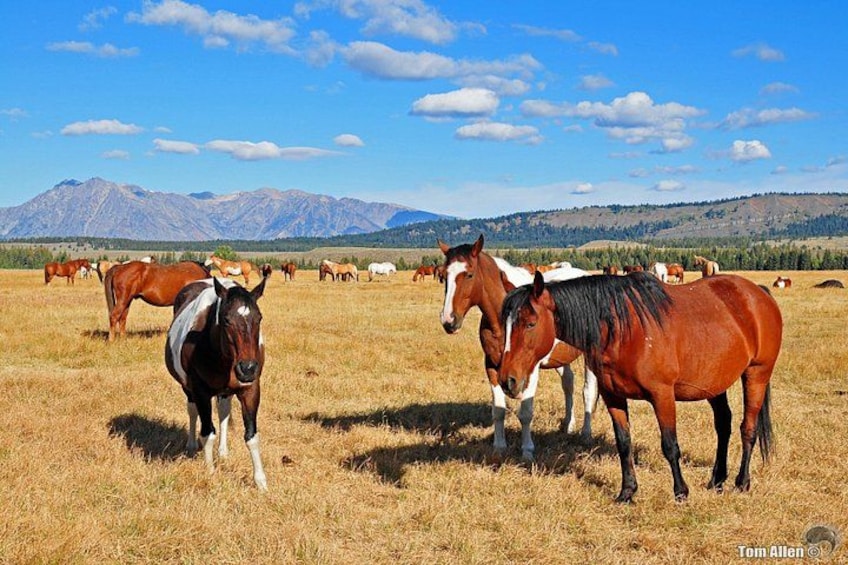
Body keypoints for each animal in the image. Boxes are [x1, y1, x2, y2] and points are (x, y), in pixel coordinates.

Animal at [165, 276, 268, 490]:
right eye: (226, 320)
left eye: (259, 318)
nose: (247, 368)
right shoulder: (200, 392)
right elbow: (207, 432)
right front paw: (211, 473)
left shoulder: (251, 389)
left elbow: (252, 436)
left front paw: (260, 481)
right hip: (188, 389)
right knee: (192, 410)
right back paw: (191, 445)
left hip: (225, 392)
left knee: (223, 413)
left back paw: (222, 452)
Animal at [438, 235, 598, 460]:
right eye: (443, 275)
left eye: (469, 274)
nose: (448, 321)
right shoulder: (492, 366)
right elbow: (498, 410)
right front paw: (499, 447)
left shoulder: (530, 369)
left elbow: (526, 412)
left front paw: (527, 450)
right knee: (568, 382)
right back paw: (568, 425)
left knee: (588, 391)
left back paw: (586, 434)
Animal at [499, 271, 782, 502]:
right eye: (506, 325)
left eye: (530, 323)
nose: (507, 380)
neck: (623, 330)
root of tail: (758, 293)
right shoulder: (613, 396)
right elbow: (624, 444)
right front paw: (627, 492)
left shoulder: (662, 395)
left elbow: (670, 445)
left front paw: (680, 492)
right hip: (714, 383)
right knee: (723, 425)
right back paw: (717, 480)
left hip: (757, 375)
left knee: (748, 429)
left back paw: (742, 482)